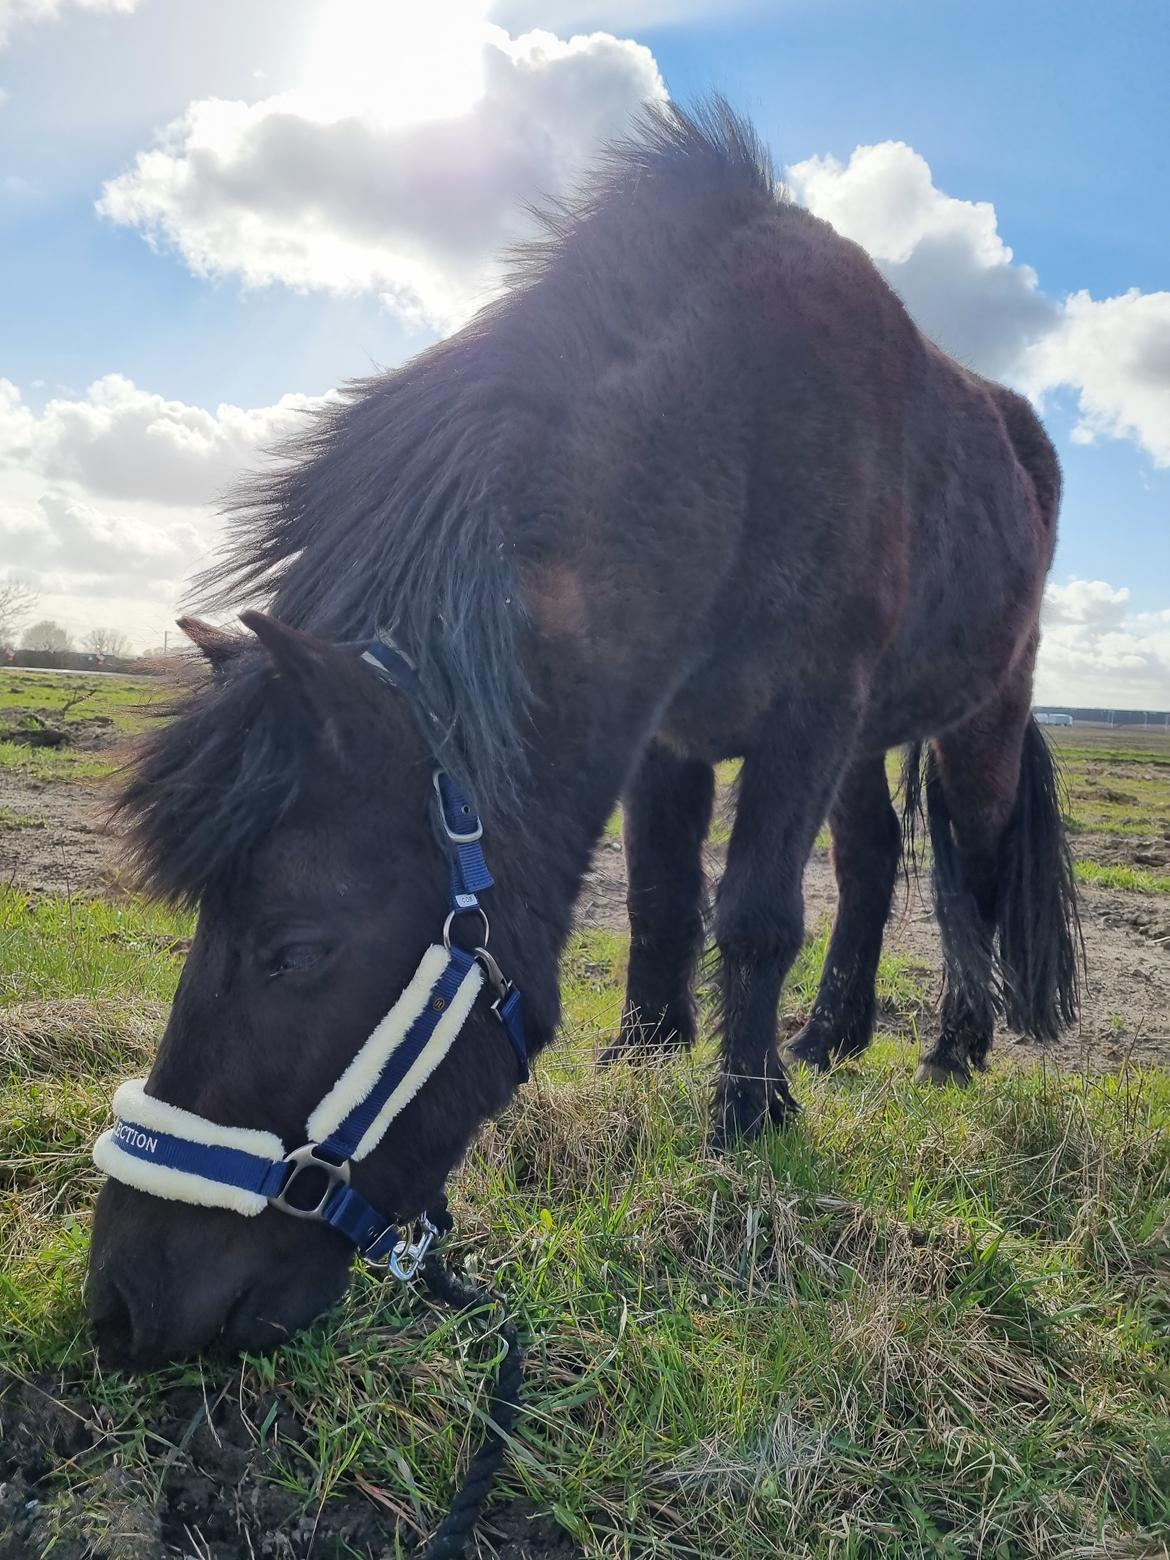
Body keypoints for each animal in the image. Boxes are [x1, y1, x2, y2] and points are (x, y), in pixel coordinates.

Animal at [89, 100, 1079, 1366]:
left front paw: (748, 1112)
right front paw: (650, 1053)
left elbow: (755, 916)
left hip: (978, 718)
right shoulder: (670, 734)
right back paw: (833, 1034)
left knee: (978, 869)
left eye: (293, 948)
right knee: (871, 861)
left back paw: (954, 1047)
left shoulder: (809, 711)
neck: (735, 429)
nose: (122, 1301)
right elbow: (661, 898)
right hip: (867, 746)